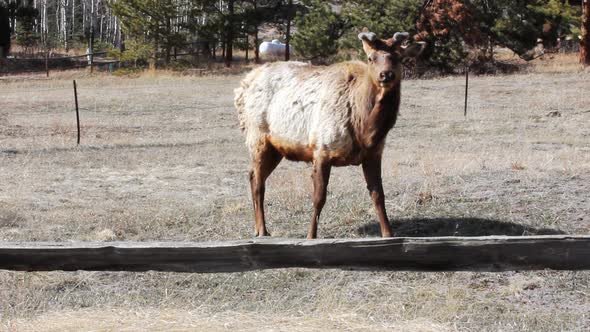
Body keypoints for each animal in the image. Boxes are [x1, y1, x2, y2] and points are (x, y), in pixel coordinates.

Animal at [236, 31, 426, 239]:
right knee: (258, 182)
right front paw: (311, 236)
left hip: (276, 149)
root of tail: (243, 86)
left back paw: (257, 228)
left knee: (253, 176)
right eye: (371, 58)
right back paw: (262, 230)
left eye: (398, 57)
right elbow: (319, 198)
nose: (386, 74)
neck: (365, 129)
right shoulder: (321, 150)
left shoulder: (373, 154)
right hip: (258, 139)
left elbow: (378, 195)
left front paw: (388, 234)